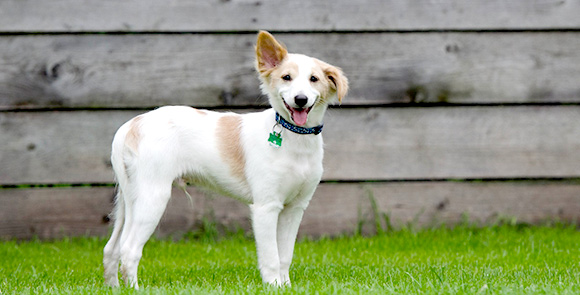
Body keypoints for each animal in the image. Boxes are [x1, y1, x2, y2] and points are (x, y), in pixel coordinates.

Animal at [103, 31, 348, 290]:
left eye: (314, 79)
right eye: (287, 77)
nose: (300, 99)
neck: (294, 139)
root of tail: (131, 125)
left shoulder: (295, 208)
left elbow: (285, 256)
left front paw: (286, 287)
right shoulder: (266, 207)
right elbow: (271, 256)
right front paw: (273, 286)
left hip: (129, 199)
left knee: (112, 249)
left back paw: (113, 288)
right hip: (153, 196)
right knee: (129, 249)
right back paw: (134, 288)